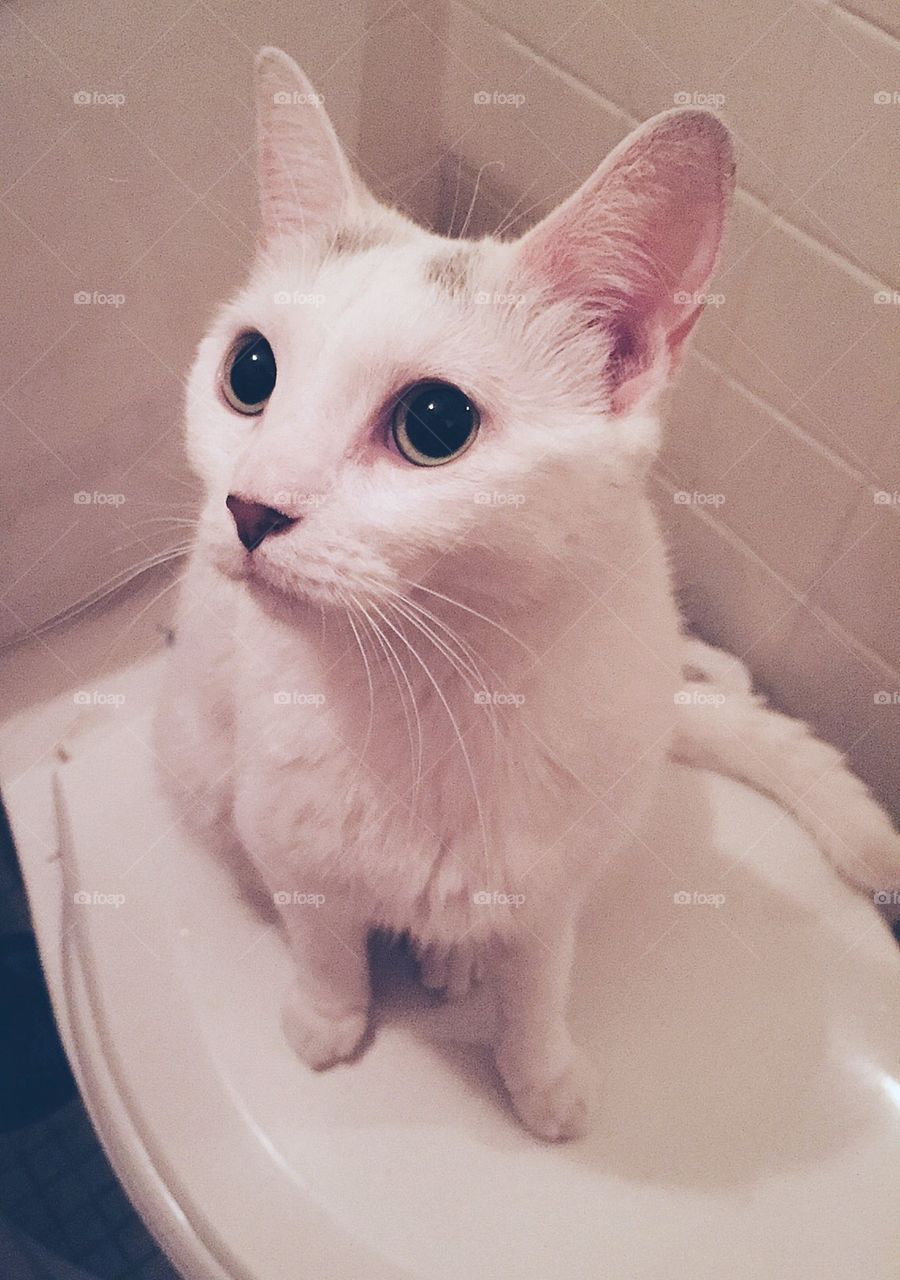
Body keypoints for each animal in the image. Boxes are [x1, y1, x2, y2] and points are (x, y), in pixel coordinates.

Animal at [160, 47, 900, 1141]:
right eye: (249, 371)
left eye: (433, 423)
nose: (252, 506)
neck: (440, 690)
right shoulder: (292, 846)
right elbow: (326, 944)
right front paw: (328, 1019)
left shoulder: (555, 888)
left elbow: (541, 978)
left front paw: (542, 1073)